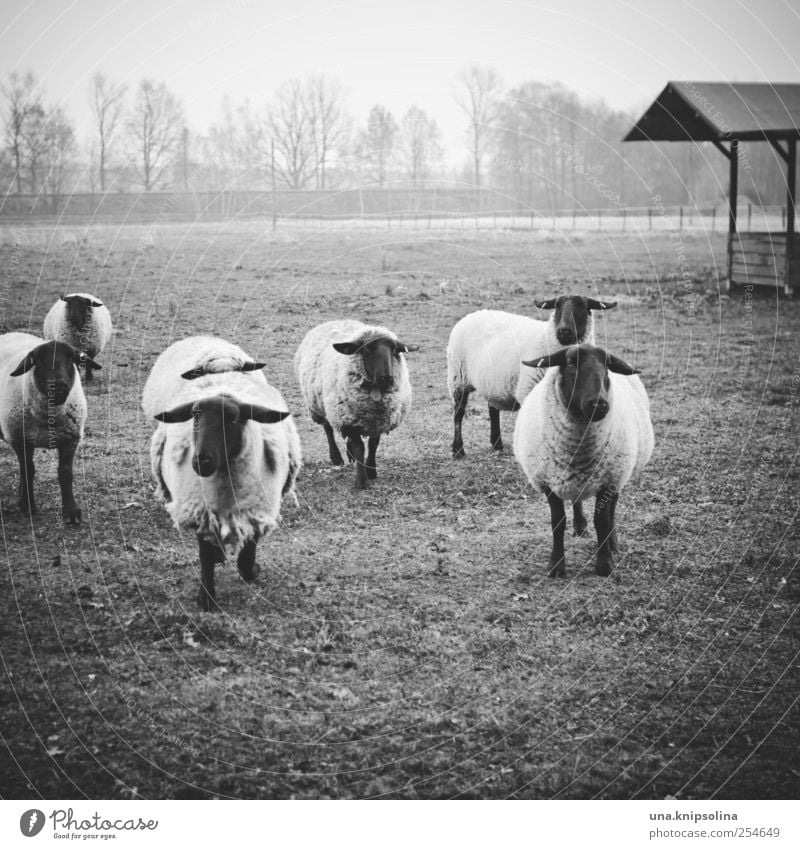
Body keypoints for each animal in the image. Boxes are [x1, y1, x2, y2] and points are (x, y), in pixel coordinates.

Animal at [0, 332, 100, 524]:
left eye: (72, 358)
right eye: (38, 359)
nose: (58, 385)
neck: (48, 419)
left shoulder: (70, 439)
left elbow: (65, 473)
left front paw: (71, 512)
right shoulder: (20, 439)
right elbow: (28, 470)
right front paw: (28, 506)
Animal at [142, 332, 302, 608]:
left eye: (234, 419)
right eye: (195, 416)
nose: (201, 461)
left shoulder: (255, 510)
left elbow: (247, 558)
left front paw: (251, 571)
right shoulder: (201, 511)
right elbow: (205, 555)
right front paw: (206, 598)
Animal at [446, 298, 616, 458]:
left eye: (583, 306)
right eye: (557, 305)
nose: (564, 331)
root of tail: (472, 314)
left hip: (492, 382)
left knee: (492, 410)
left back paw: (497, 444)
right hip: (458, 377)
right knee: (458, 414)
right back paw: (458, 450)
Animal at [516, 342, 652, 576]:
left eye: (607, 365)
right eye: (571, 363)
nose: (599, 404)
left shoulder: (608, 479)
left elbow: (602, 521)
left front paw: (604, 563)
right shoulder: (548, 482)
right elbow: (557, 522)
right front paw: (556, 565)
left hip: (619, 471)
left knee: (612, 507)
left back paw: (612, 542)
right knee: (577, 500)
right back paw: (580, 526)